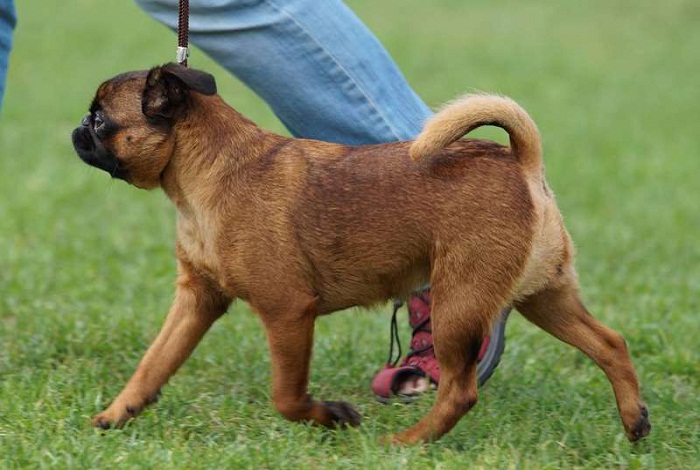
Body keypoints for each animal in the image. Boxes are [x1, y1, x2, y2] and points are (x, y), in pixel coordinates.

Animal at [71, 63, 652, 444]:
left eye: (101, 121)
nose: (76, 130)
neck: (210, 173)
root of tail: (522, 165)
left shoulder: (288, 311)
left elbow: (286, 395)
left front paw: (331, 416)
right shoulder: (197, 300)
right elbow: (154, 364)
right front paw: (116, 414)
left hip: (457, 305)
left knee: (460, 390)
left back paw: (409, 442)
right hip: (545, 297)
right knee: (610, 343)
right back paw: (634, 420)